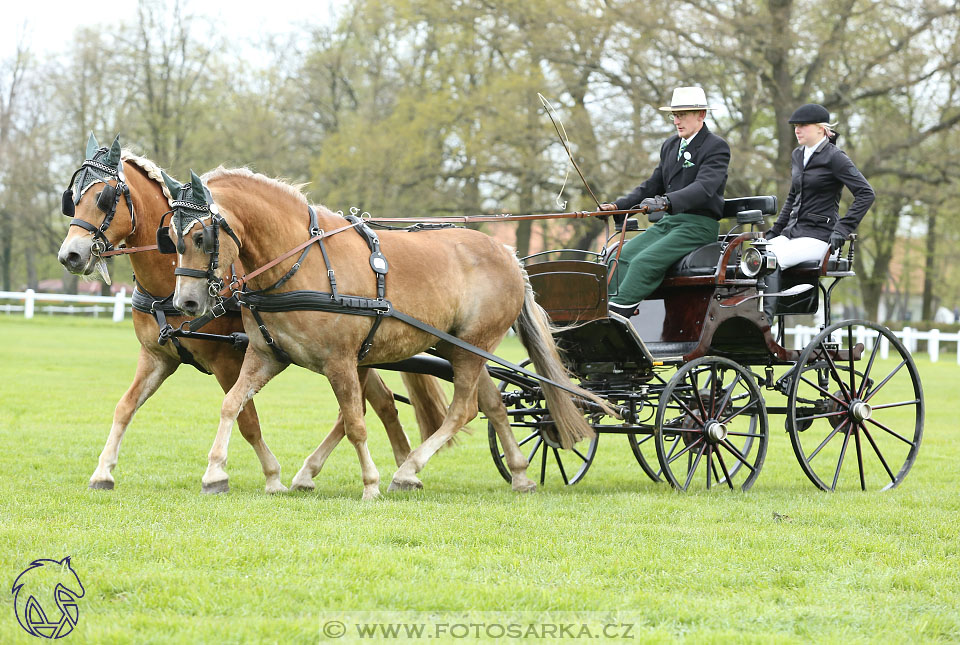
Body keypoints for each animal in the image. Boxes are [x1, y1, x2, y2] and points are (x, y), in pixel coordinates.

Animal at [56, 133, 450, 490]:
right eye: (73, 199)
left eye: (104, 198)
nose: (70, 255)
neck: (168, 285)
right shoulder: (157, 356)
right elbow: (125, 407)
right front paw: (103, 472)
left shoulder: (229, 361)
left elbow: (247, 419)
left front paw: (260, 476)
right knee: (379, 403)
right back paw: (395, 465)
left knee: (363, 408)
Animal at [171, 166, 608, 498]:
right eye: (171, 238)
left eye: (201, 237)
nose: (186, 303)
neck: (300, 260)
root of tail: (508, 255)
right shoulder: (267, 356)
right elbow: (232, 404)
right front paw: (215, 473)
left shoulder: (341, 361)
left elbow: (355, 422)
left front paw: (371, 484)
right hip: (461, 348)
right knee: (493, 405)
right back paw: (518, 473)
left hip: (472, 347)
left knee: (463, 409)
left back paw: (408, 470)